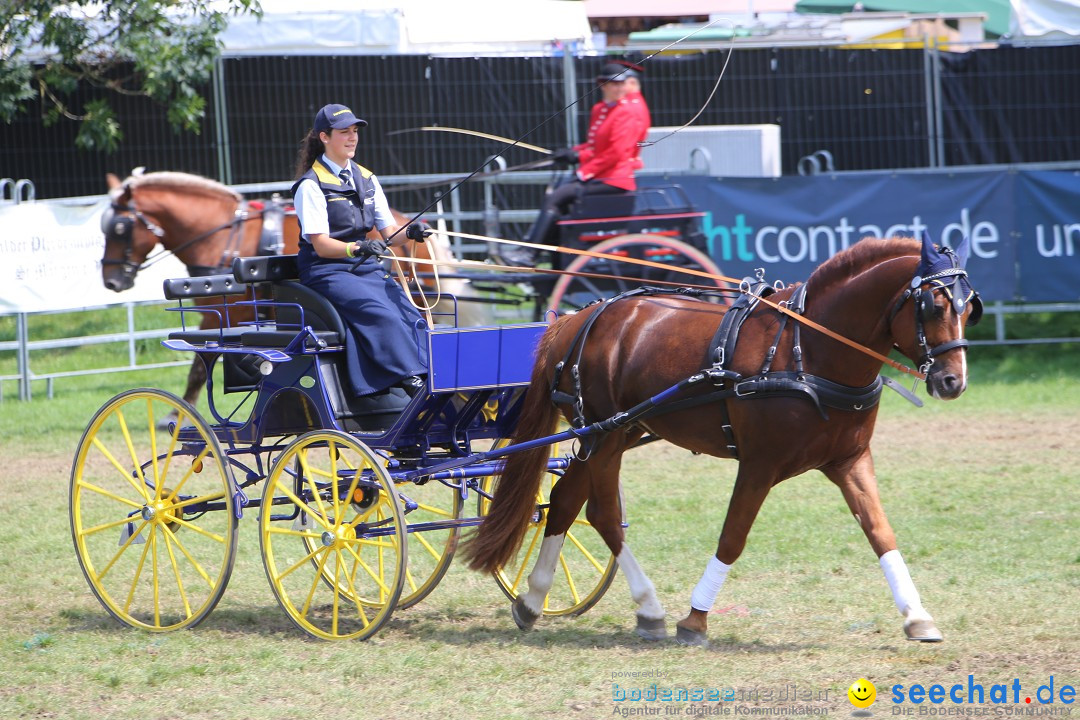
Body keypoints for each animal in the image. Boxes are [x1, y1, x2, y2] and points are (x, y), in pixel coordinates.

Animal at [468, 235, 984, 647]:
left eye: (969, 308)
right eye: (934, 306)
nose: (953, 381)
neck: (808, 350)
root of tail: (579, 318)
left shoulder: (849, 459)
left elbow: (880, 531)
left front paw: (917, 617)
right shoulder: (759, 464)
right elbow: (733, 537)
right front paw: (695, 620)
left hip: (611, 431)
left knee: (564, 500)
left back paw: (532, 601)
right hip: (607, 434)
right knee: (603, 514)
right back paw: (648, 607)